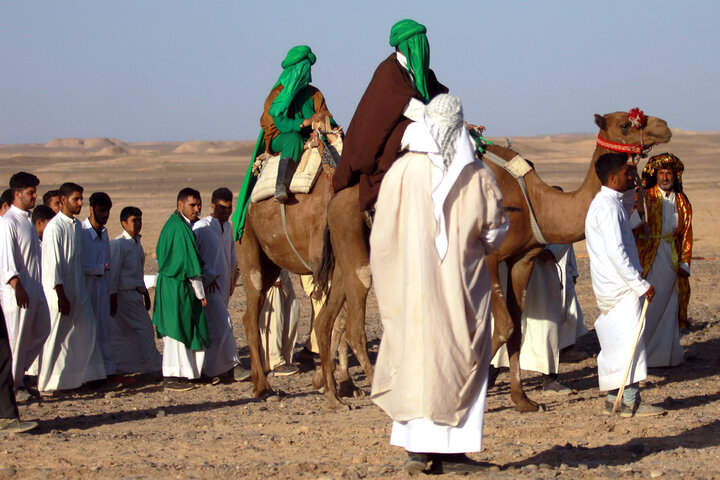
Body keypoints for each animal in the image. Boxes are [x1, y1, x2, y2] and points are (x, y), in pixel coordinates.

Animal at [312, 109, 672, 408]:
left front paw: (522, 400)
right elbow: (503, 326)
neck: (535, 202)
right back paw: (380, 397)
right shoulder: (489, 258)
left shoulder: (521, 260)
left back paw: (333, 397)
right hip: (354, 242)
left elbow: (516, 330)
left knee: (326, 318)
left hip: (346, 254)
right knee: (355, 325)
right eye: (625, 124)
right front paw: (472, 388)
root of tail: (334, 201)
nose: (665, 126)